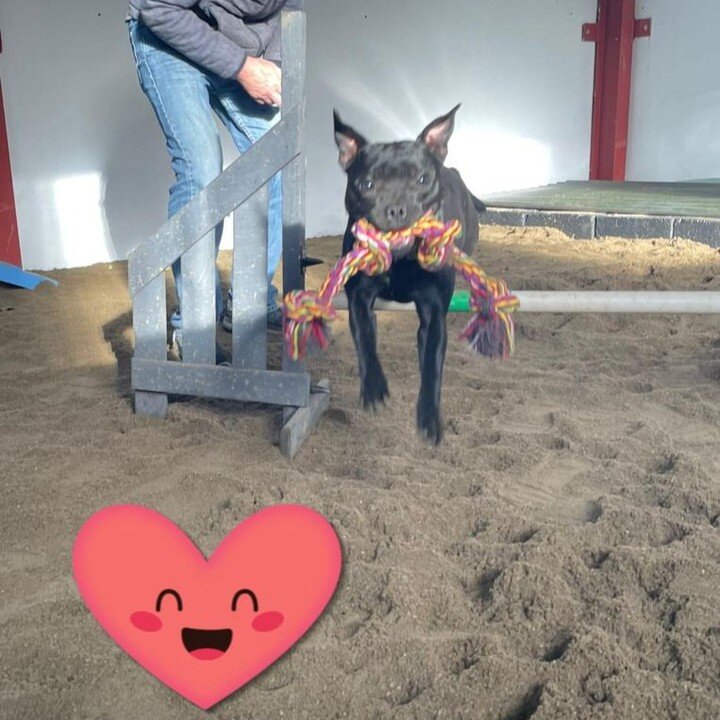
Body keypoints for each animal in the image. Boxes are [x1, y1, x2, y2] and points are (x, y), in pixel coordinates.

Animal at [334, 103, 486, 442]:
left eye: (422, 178)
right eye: (366, 184)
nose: (396, 209)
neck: (400, 259)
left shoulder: (434, 310)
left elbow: (431, 364)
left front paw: (429, 418)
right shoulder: (359, 296)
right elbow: (365, 336)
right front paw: (374, 389)